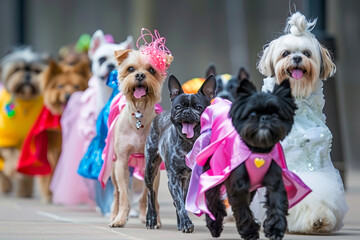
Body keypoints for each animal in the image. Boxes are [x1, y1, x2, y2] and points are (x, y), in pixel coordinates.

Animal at [0, 47, 47, 197]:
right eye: (17, 69)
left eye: (36, 71)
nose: (27, 76)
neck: (25, 104)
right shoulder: (6, 138)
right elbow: (11, 154)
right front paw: (12, 168)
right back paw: (6, 185)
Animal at [97, 29, 173, 228]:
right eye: (130, 69)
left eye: (152, 70)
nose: (139, 75)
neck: (139, 117)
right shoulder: (122, 162)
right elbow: (124, 195)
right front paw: (120, 218)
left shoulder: (152, 164)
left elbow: (150, 195)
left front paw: (153, 218)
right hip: (113, 168)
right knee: (116, 193)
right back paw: (113, 215)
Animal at [144, 74, 217, 232]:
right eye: (178, 107)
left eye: (198, 107)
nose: (186, 111)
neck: (190, 143)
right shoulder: (173, 179)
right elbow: (180, 204)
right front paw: (186, 223)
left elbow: (182, 202)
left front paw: (184, 223)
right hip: (150, 169)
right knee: (151, 193)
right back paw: (151, 219)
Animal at [184, 78, 310, 239]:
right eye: (252, 113)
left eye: (276, 113)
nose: (265, 118)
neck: (257, 152)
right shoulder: (238, 187)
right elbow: (242, 210)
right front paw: (250, 232)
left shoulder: (275, 183)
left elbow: (276, 205)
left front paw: (275, 229)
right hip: (212, 175)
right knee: (213, 202)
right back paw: (214, 226)